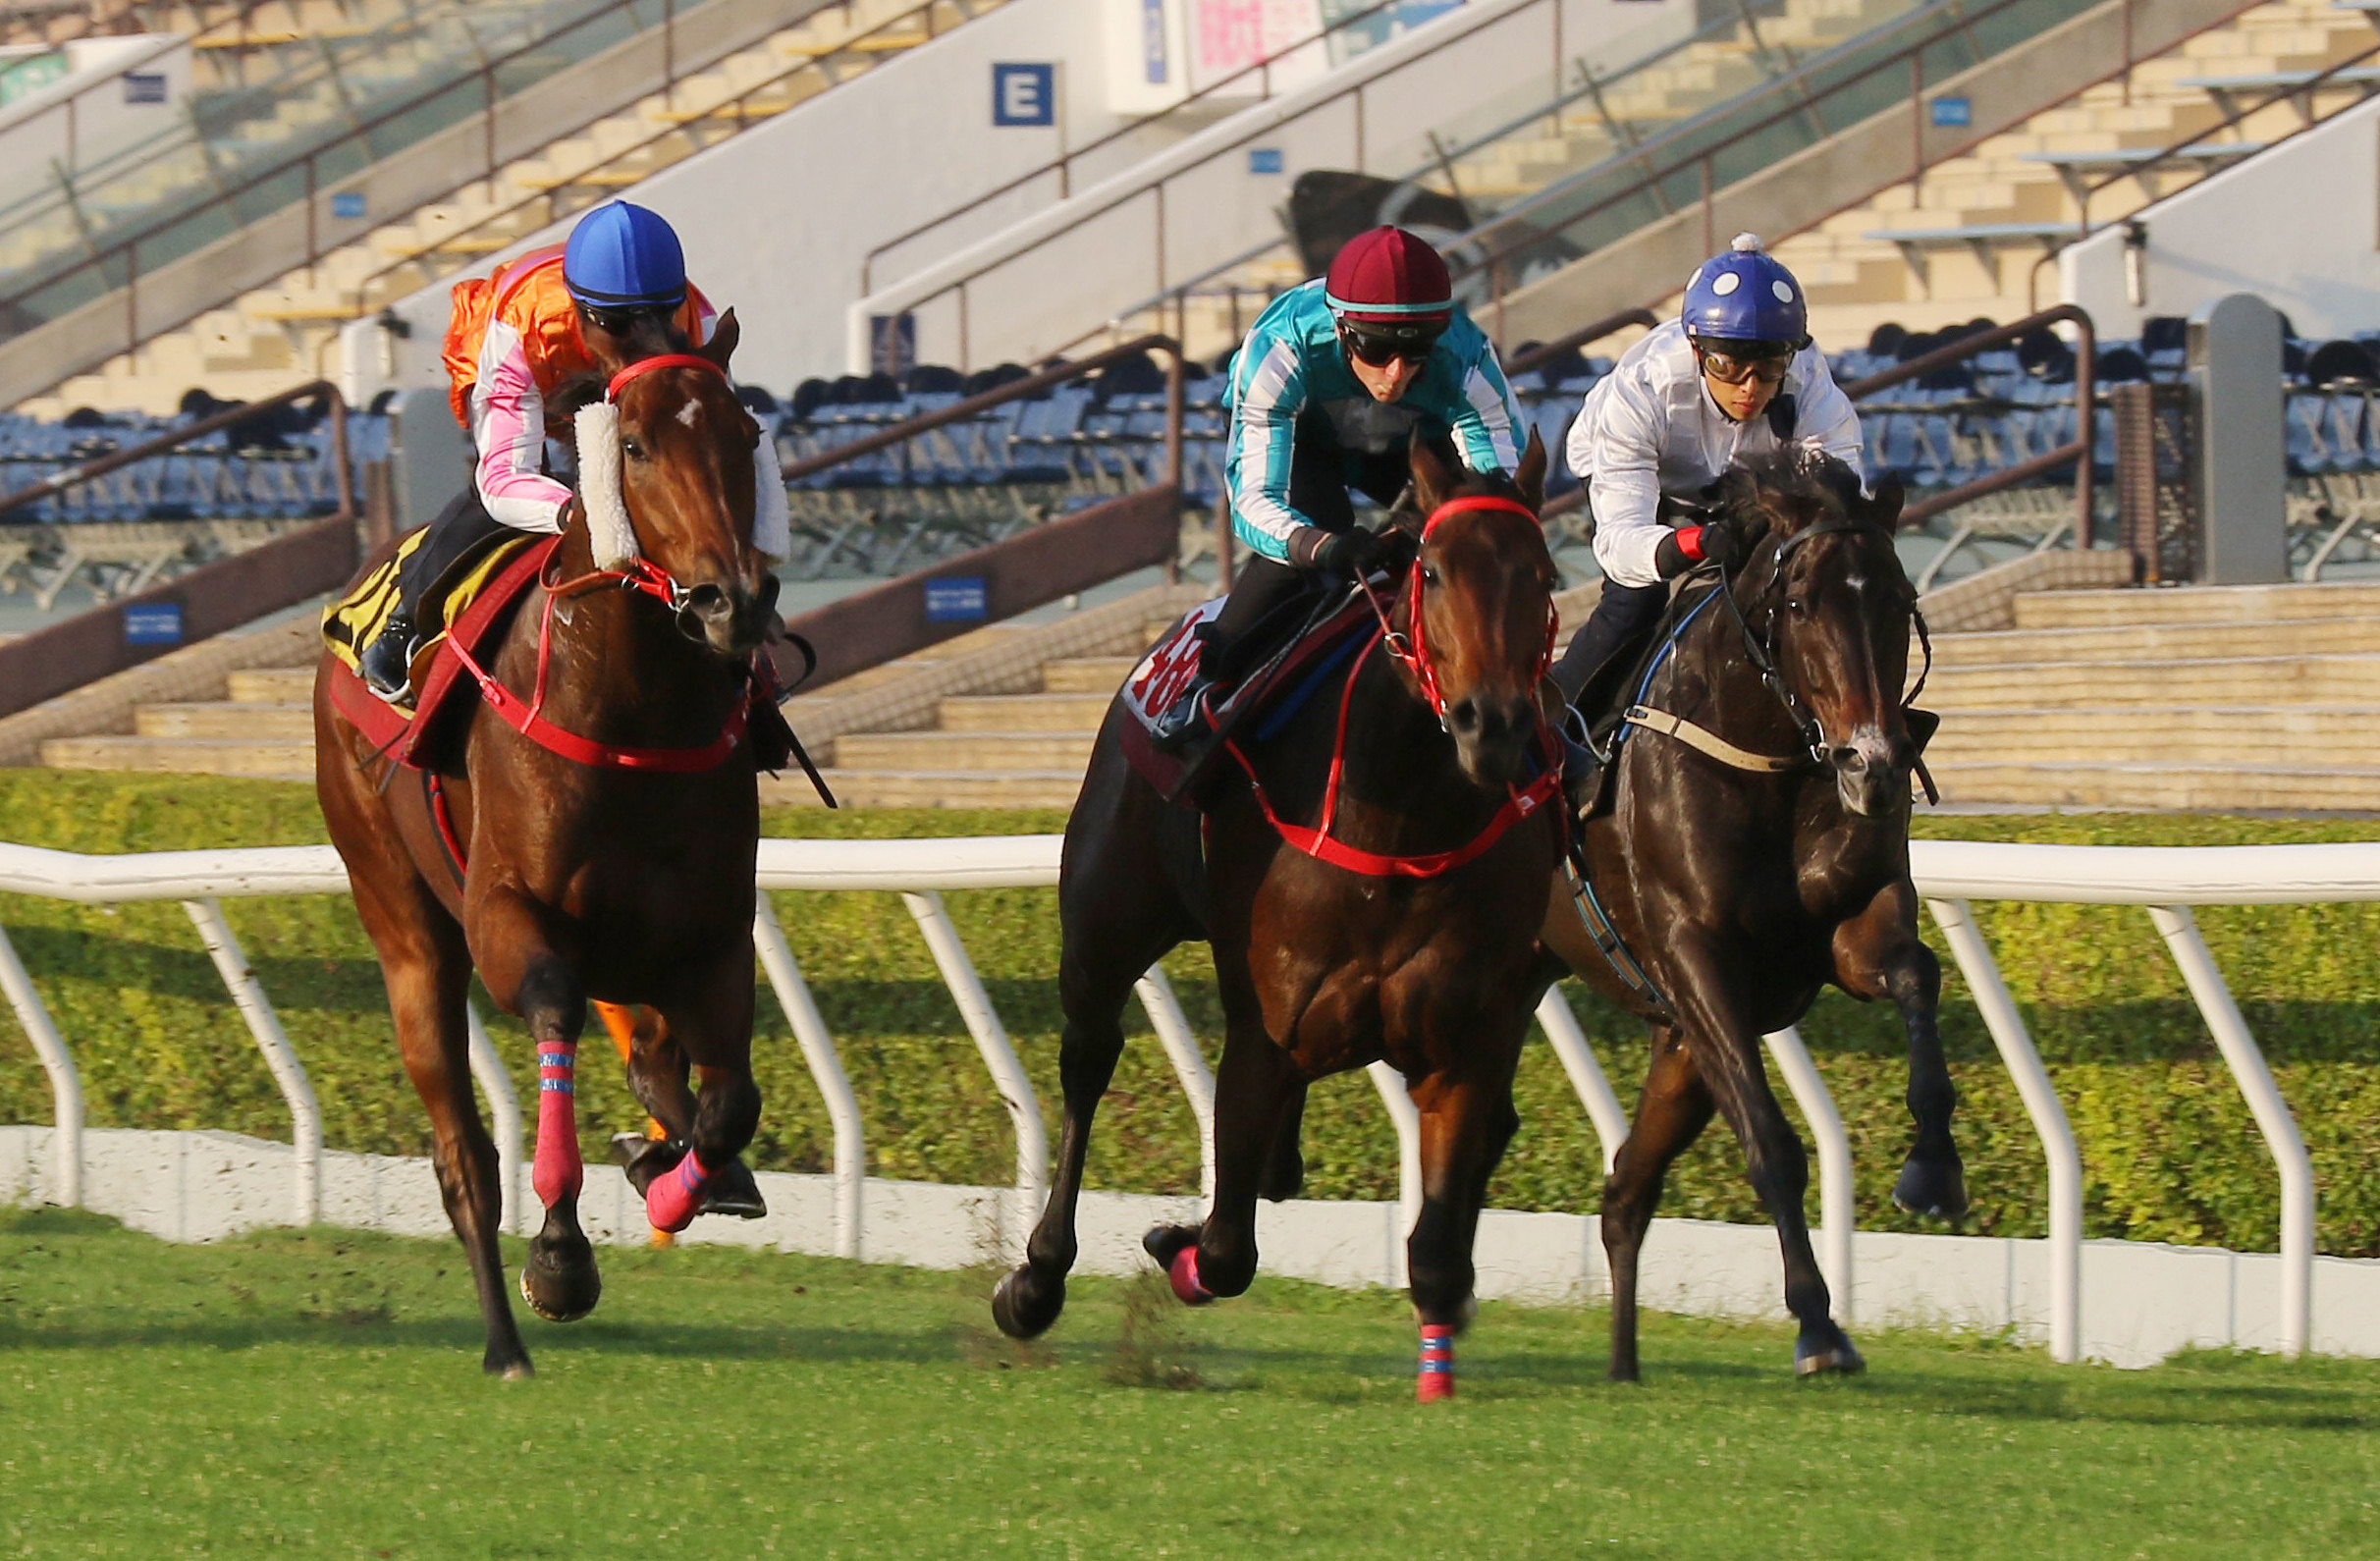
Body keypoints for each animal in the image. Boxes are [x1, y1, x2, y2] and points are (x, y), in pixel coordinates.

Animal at [313, 306, 781, 1379]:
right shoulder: (507, 916)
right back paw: (503, 1341)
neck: (632, 710)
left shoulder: (712, 934)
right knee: (463, 1156)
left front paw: (674, 1179)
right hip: (403, 927)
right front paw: (561, 1256)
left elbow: (730, 1098)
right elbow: (559, 1011)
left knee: (656, 1061)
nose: (731, 601)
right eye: (635, 445)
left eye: (747, 436)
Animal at [995, 430, 1570, 1399]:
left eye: (1543, 574)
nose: (1491, 726)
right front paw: (1172, 1245)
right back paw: (1036, 1280)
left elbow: (1435, 1250)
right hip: (1104, 928)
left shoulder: (1467, 1041)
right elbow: (1228, 1250)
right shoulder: (1261, 1030)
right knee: (1088, 1063)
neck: (1400, 823)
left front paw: (1438, 1365)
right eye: (1434, 571)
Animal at [1542, 447, 1951, 1379]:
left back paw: (1622, 1366)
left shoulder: (1849, 926)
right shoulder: (1696, 960)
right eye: (1801, 605)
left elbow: (1917, 975)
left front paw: (1932, 1168)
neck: (1765, 756)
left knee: (1625, 1190)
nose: (1874, 765)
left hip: (1676, 1047)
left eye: (1899, 598)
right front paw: (1818, 1327)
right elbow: (1770, 1140)